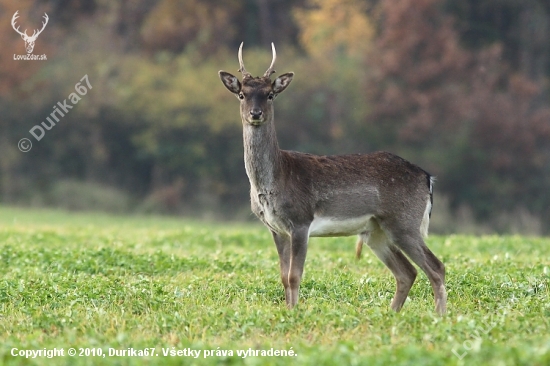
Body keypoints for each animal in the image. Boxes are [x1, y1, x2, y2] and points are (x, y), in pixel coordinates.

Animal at [218, 42, 446, 312]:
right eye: (242, 94)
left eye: (270, 94)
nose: (255, 113)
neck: (272, 183)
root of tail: (427, 178)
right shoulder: (276, 228)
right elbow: (283, 277)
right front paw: (288, 311)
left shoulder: (301, 220)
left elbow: (294, 276)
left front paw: (294, 313)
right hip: (376, 230)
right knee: (407, 272)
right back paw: (393, 315)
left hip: (404, 220)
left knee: (436, 267)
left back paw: (439, 316)